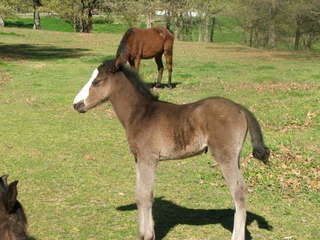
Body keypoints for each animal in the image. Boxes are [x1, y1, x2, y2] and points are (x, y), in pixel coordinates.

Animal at [73, 59, 270, 239]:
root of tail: (240, 108)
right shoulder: (138, 159)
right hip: (235, 158)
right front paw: (143, 233)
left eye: (97, 82)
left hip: (225, 157)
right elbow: (139, 194)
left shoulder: (149, 159)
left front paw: (148, 235)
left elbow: (146, 195)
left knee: (239, 192)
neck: (141, 114)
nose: (76, 104)